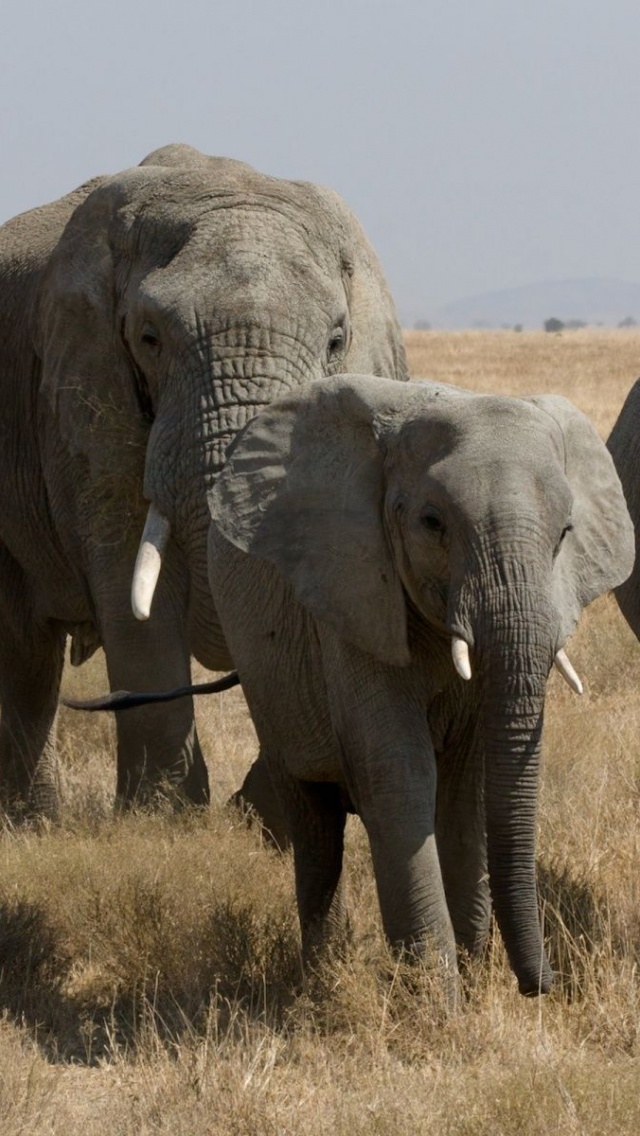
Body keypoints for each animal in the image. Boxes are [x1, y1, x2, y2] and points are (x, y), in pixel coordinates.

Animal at [0, 142, 409, 817]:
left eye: (336, 341)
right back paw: (34, 822)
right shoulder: (84, 388)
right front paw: (163, 818)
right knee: (23, 646)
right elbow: (130, 582)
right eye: (149, 338)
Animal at [206, 370, 636, 995]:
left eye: (564, 534)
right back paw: (322, 980)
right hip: (265, 673)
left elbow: (465, 786)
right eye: (433, 524)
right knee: (314, 825)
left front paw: (472, 981)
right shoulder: (354, 591)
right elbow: (399, 773)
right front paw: (436, 997)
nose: (549, 985)